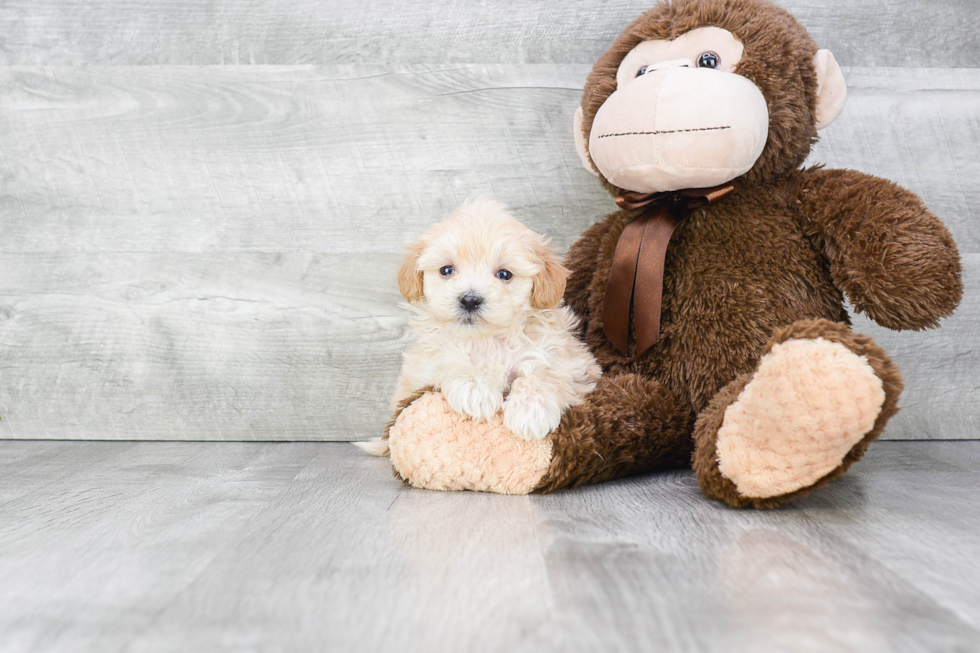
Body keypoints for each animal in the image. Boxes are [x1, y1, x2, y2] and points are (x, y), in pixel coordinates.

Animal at [358, 199, 596, 454]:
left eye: (504, 274)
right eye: (447, 270)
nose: (470, 299)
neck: (486, 340)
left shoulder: (576, 365)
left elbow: (547, 376)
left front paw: (532, 410)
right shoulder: (420, 371)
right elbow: (448, 363)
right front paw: (476, 391)